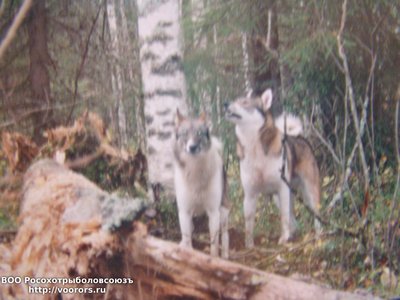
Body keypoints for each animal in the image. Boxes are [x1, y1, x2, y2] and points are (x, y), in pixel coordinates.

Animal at [174, 110, 230, 258]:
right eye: (184, 134)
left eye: (199, 133)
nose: (192, 147)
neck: (195, 170)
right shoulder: (184, 211)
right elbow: (187, 240)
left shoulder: (213, 212)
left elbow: (214, 245)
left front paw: (213, 260)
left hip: (223, 212)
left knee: (225, 234)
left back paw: (225, 255)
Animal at [225, 88, 322, 246]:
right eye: (235, 100)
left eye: (245, 102)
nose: (225, 103)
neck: (255, 148)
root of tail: (300, 137)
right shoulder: (250, 194)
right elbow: (249, 223)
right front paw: (249, 244)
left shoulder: (282, 188)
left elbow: (283, 218)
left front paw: (283, 238)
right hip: (281, 197)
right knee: (293, 220)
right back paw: (293, 234)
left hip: (309, 191)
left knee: (315, 215)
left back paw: (318, 236)